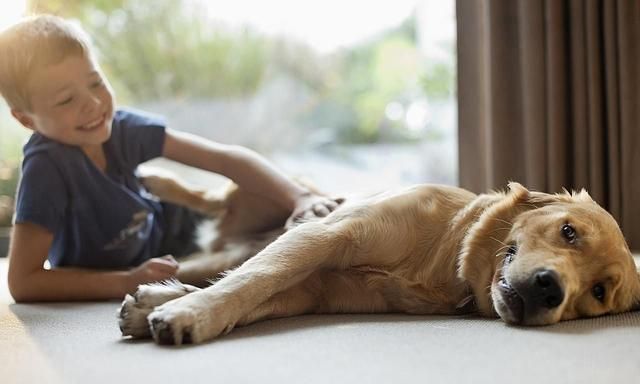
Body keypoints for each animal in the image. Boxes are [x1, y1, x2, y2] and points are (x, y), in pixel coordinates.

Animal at [116, 177, 640, 344]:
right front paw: (189, 312)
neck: (444, 254)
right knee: (208, 196)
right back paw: (155, 180)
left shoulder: (319, 291)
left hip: (224, 250)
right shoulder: (325, 235)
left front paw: (171, 308)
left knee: (204, 260)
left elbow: (258, 292)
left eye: (597, 294)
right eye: (568, 232)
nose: (552, 288)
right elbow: (256, 279)